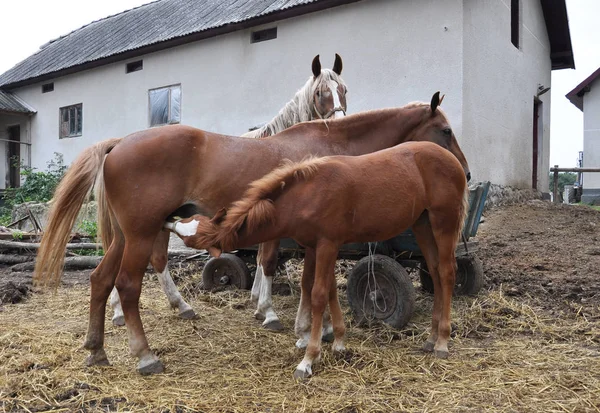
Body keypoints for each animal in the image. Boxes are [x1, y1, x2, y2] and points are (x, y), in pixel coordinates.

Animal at [108, 54, 346, 326]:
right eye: (319, 93)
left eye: (344, 89)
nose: (338, 124)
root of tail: (119, 144)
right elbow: (265, 260)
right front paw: (264, 308)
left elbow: (261, 259)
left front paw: (257, 301)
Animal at [168, 140, 468, 378]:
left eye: (190, 240)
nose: (169, 222)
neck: (306, 194)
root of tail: (450, 158)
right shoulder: (315, 247)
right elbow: (322, 288)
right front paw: (335, 341)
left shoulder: (327, 245)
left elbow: (319, 293)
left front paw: (309, 357)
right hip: (422, 224)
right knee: (435, 271)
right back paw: (430, 338)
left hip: (444, 221)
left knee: (447, 271)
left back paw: (442, 342)